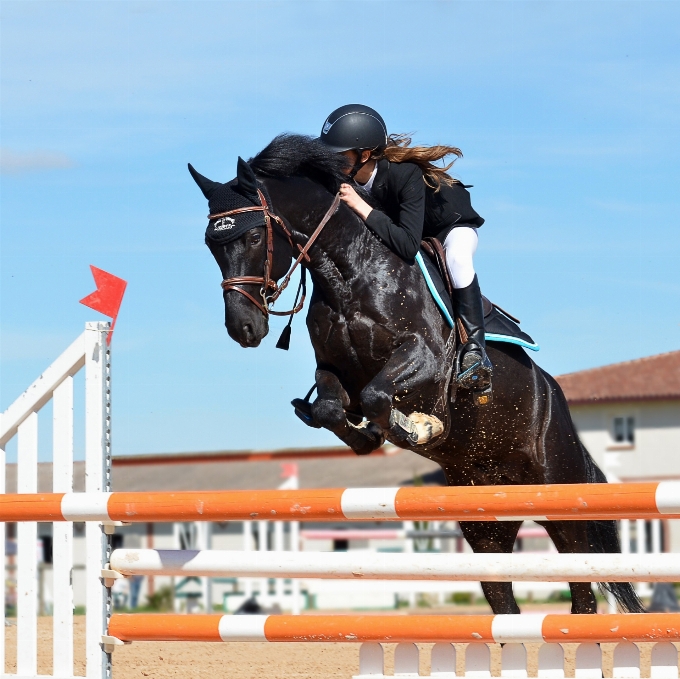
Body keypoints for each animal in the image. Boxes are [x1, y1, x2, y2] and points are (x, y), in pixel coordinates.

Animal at [190, 134, 644, 616]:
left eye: (255, 235)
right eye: (212, 245)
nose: (243, 328)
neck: (349, 272)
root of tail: (556, 399)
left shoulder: (425, 359)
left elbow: (379, 395)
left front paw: (419, 428)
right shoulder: (334, 371)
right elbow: (334, 408)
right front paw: (368, 436)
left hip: (562, 499)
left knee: (583, 594)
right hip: (485, 523)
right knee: (504, 598)